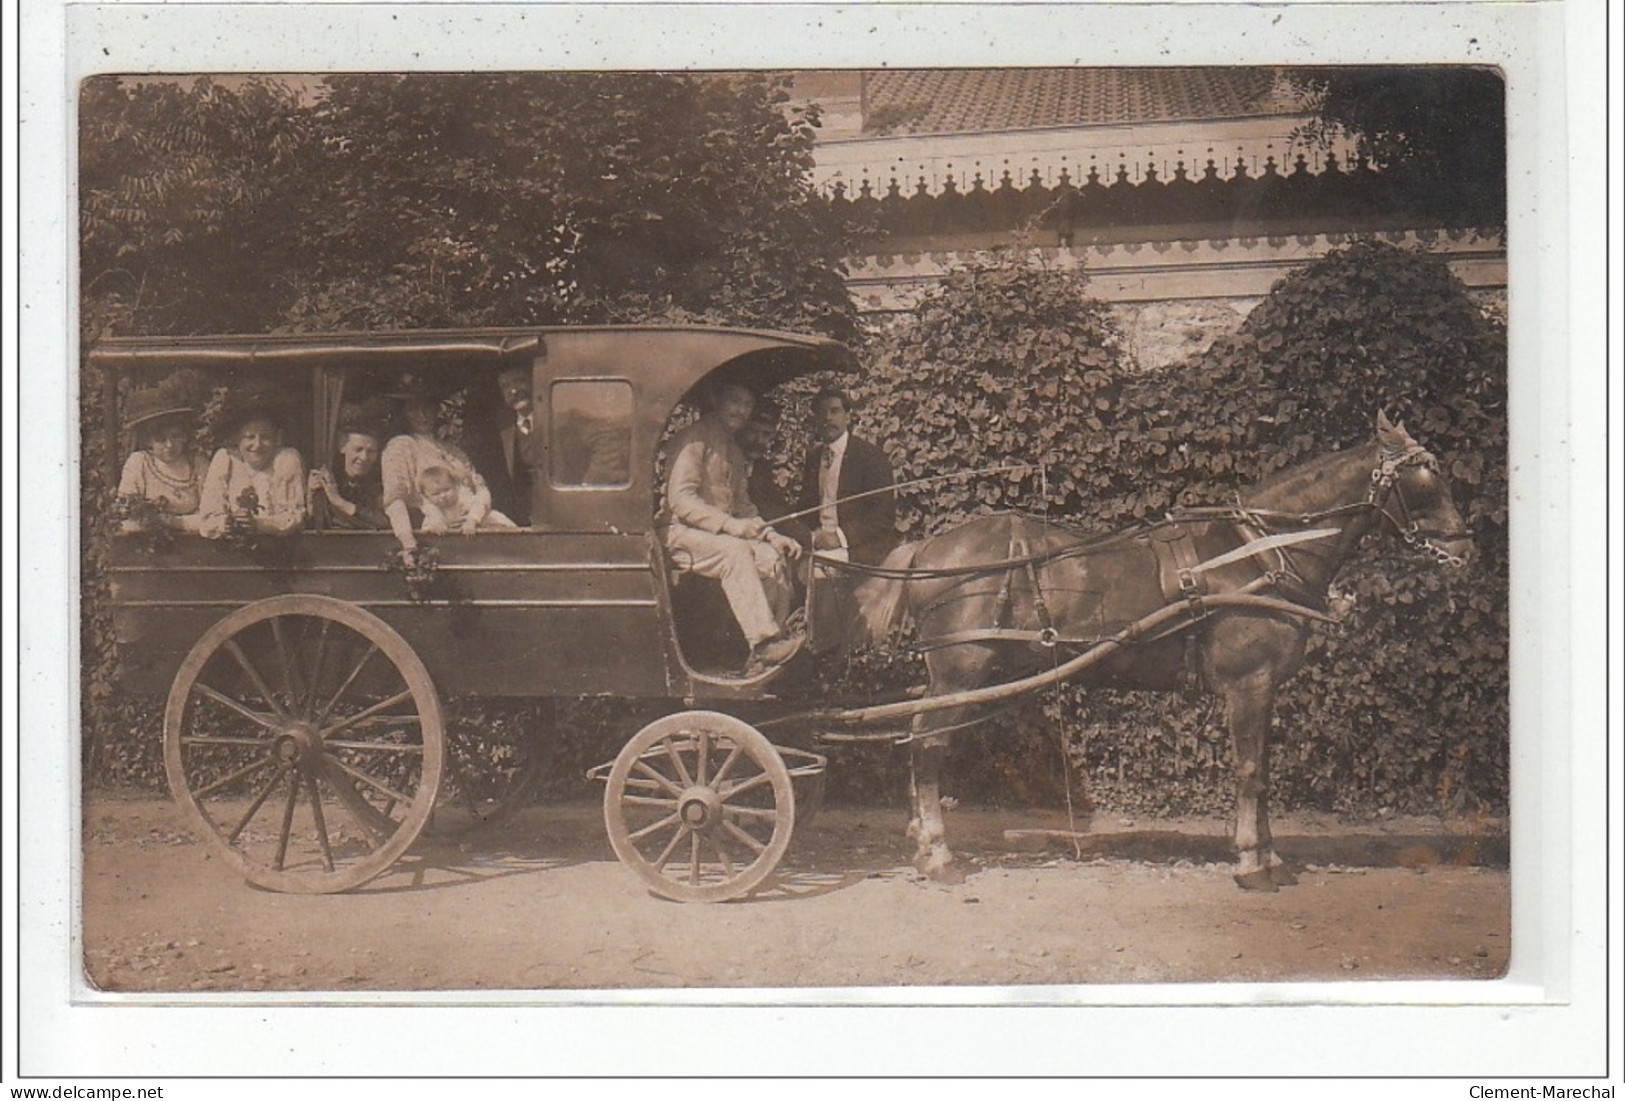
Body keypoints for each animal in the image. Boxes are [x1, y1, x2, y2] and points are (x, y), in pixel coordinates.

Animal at [851, 409, 1475, 889]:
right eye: (1426, 478)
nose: (1464, 548)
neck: (1261, 553)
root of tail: (931, 547)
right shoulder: (1248, 685)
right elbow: (1251, 771)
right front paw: (1251, 864)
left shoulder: (1265, 689)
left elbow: (1265, 773)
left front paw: (1270, 855)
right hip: (961, 674)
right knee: (926, 745)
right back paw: (937, 853)